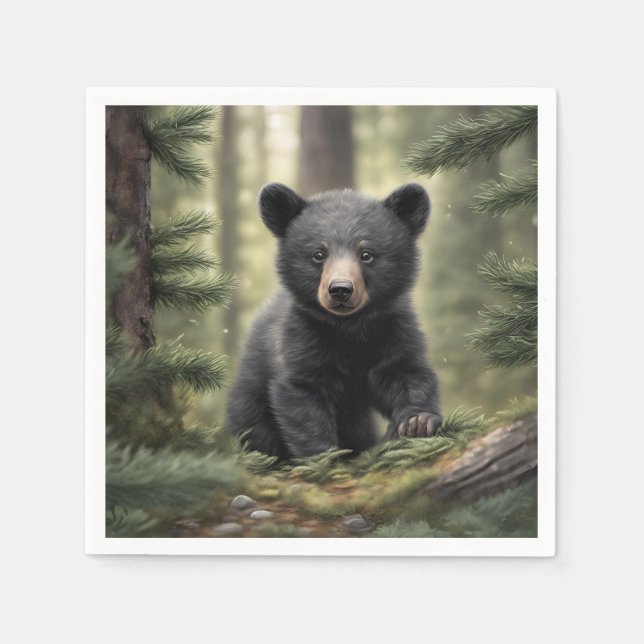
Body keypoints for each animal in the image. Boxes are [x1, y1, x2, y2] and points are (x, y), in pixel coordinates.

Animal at [225, 182, 442, 460]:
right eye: (319, 254)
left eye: (366, 254)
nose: (340, 289)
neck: (349, 328)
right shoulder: (301, 338)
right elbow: (302, 396)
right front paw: (324, 456)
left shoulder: (394, 328)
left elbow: (405, 373)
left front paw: (418, 422)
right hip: (250, 398)